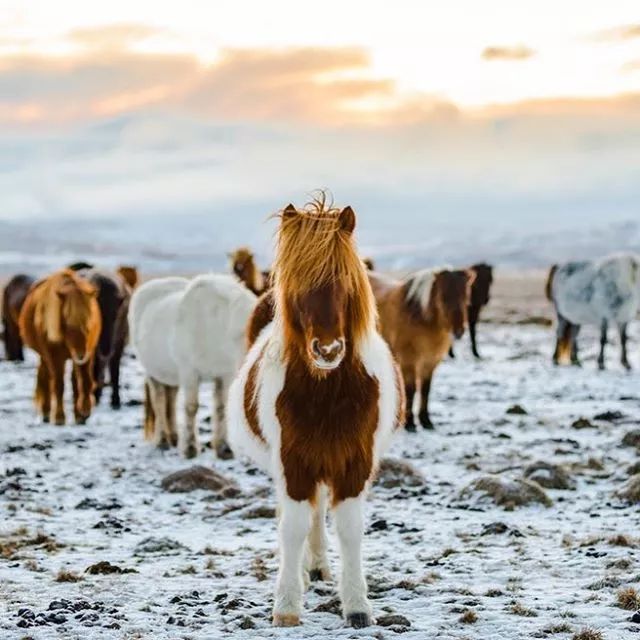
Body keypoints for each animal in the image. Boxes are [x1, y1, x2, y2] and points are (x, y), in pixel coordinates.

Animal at [18, 268, 102, 424]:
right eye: (67, 324)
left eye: (88, 324)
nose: (80, 355)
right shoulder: (54, 356)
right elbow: (58, 385)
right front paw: (59, 417)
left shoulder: (88, 352)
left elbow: (84, 381)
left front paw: (85, 411)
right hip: (46, 356)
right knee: (45, 377)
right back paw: (46, 412)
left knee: (74, 382)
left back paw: (77, 415)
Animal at [129, 272, 256, 458]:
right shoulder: (190, 373)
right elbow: (191, 408)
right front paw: (190, 448)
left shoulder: (225, 374)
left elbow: (221, 407)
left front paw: (224, 448)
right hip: (153, 373)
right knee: (159, 401)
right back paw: (162, 441)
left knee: (170, 399)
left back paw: (174, 437)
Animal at [228, 198, 402, 628]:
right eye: (297, 285)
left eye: (345, 281)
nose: (328, 350)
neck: (327, 393)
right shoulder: (293, 463)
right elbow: (291, 527)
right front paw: (287, 605)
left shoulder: (354, 463)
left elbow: (350, 529)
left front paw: (357, 605)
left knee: (319, 511)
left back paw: (319, 567)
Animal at [370, 264, 476, 430]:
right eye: (443, 296)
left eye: (466, 296)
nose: (458, 331)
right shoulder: (409, 361)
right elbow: (411, 389)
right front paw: (410, 423)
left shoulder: (430, 362)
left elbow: (426, 390)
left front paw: (426, 421)